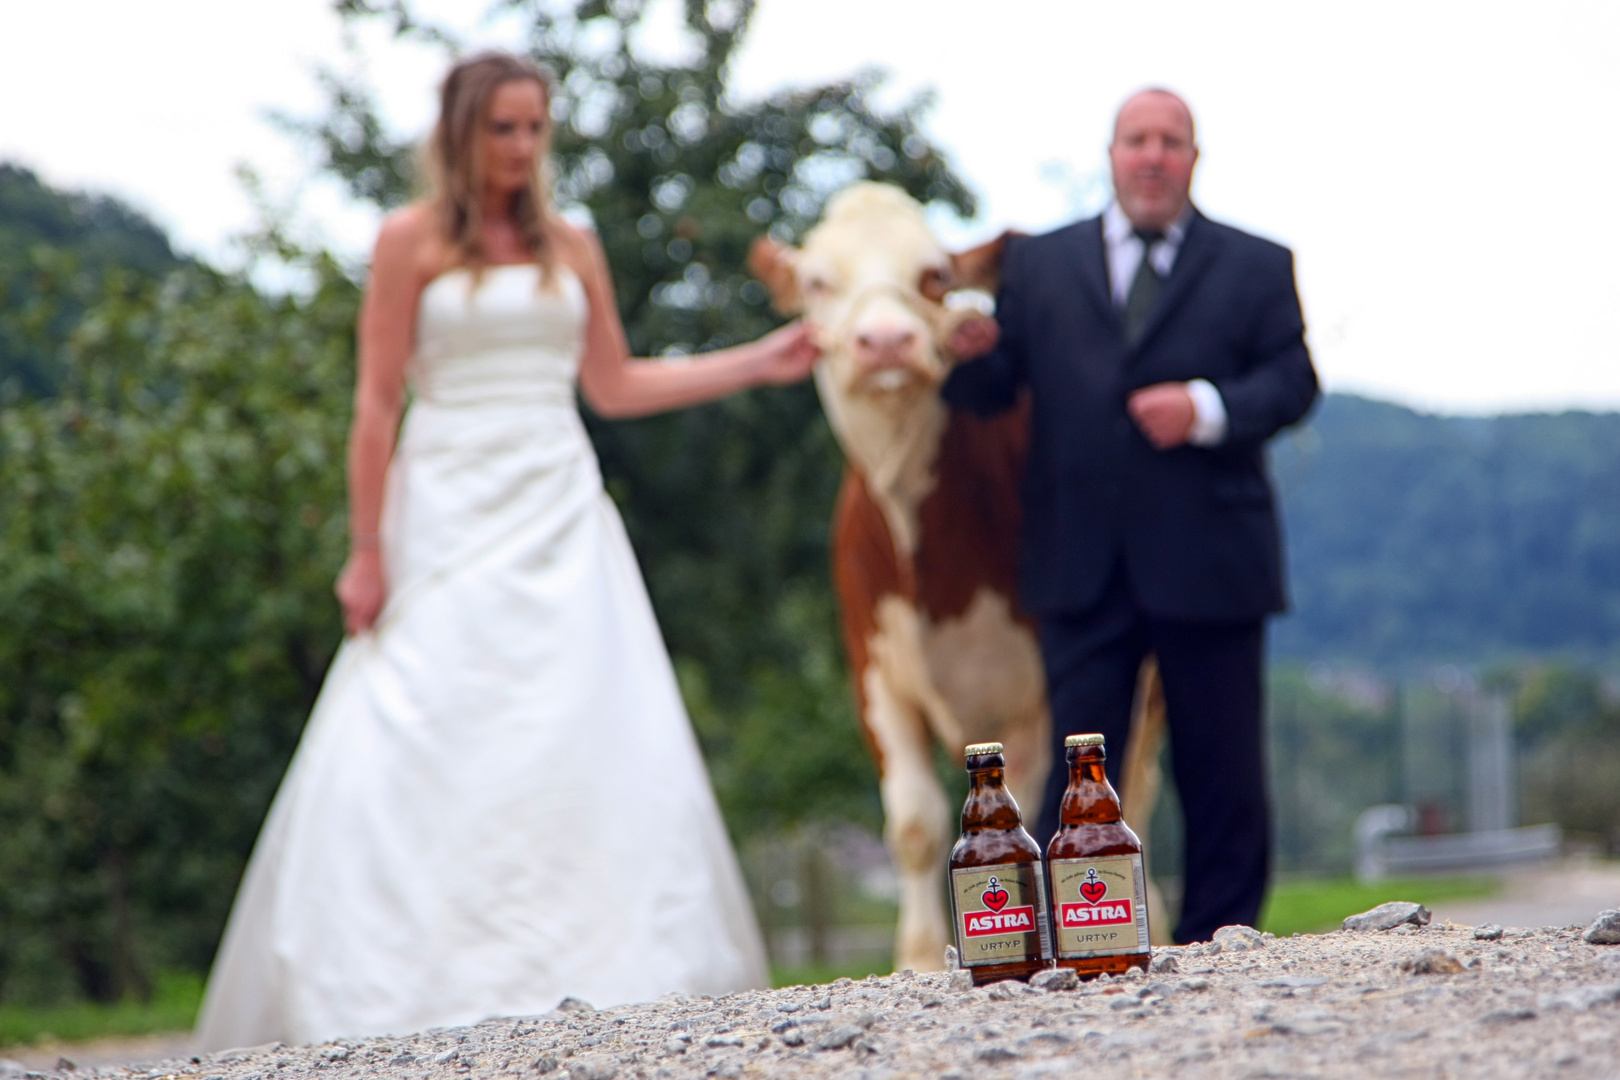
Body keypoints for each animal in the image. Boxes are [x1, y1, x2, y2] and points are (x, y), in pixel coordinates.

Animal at [751, 181, 1172, 977]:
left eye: (934, 277)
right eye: (818, 283)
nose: (885, 342)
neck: (934, 577)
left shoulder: (1038, 690)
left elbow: (1040, 794)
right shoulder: (875, 675)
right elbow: (914, 825)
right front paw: (917, 957)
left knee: (1138, 780)